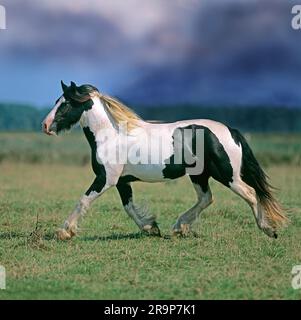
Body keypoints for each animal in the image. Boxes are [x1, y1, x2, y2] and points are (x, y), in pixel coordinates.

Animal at [41, 80, 286, 240]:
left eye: (65, 103)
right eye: (56, 101)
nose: (45, 125)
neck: (111, 135)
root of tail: (230, 131)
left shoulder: (106, 179)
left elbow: (84, 201)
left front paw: (65, 231)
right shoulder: (121, 181)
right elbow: (129, 208)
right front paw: (151, 228)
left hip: (226, 175)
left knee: (251, 194)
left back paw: (268, 229)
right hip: (200, 175)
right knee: (206, 198)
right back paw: (179, 227)